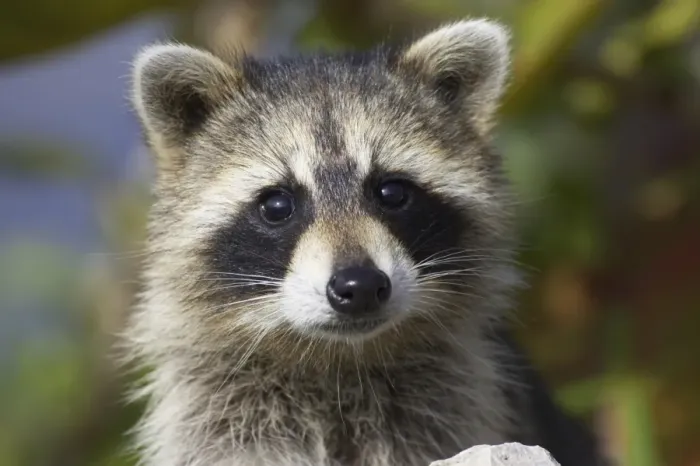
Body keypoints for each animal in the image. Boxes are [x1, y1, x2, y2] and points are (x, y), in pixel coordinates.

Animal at [125, 18, 606, 466]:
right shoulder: (220, 411)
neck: (337, 360)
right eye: (277, 205)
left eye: (391, 192)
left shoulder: (455, 401)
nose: (359, 287)